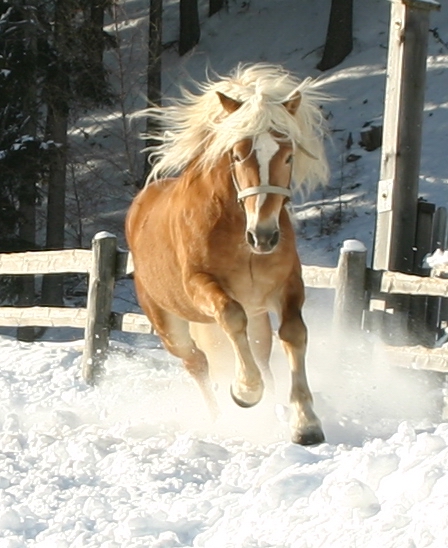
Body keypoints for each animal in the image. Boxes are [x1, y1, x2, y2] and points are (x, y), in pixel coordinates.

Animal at [126, 63, 328, 446]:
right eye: (236, 154)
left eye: (288, 155)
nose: (263, 236)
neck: (238, 235)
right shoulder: (201, 284)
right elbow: (232, 316)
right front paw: (245, 391)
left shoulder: (286, 285)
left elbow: (294, 334)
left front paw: (306, 424)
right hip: (170, 324)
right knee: (197, 362)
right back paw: (221, 419)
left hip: (257, 315)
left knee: (259, 353)